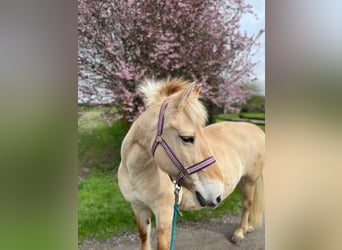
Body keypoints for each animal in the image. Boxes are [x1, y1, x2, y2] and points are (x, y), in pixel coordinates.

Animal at [117, 78, 264, 250]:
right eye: (187, 138)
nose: (217, 194)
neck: (137, 172)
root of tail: (257, 129)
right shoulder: (138, 208)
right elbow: (144, 238)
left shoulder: (165, 215)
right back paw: (248, 227)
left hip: (249, 181)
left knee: (247, 204)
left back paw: (240, 233)